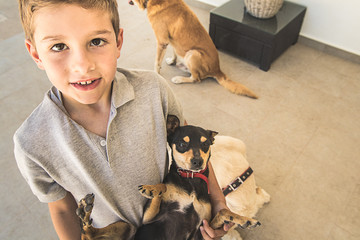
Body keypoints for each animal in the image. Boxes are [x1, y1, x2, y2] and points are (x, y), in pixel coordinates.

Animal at [76, 115, 258, 239]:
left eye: (205, 144)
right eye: (182, 144)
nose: (198, 161)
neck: (190, 180)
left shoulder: (202, 230)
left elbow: (223, 212)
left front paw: (243, 219)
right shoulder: (148, 219)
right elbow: (162, 186)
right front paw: (151, 189)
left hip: (127, 227)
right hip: (127, 226)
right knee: (86, 235)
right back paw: (85, 211)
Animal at [129, 0, 258, 98]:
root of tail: (217, 70)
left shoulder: (162, 42)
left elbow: (157, 62)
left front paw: (156, 74)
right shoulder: (172, 40)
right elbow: (174, 51)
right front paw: (172, 60)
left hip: (193, 54)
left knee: (196, 79)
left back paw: (179, 79)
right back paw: (181, 66)